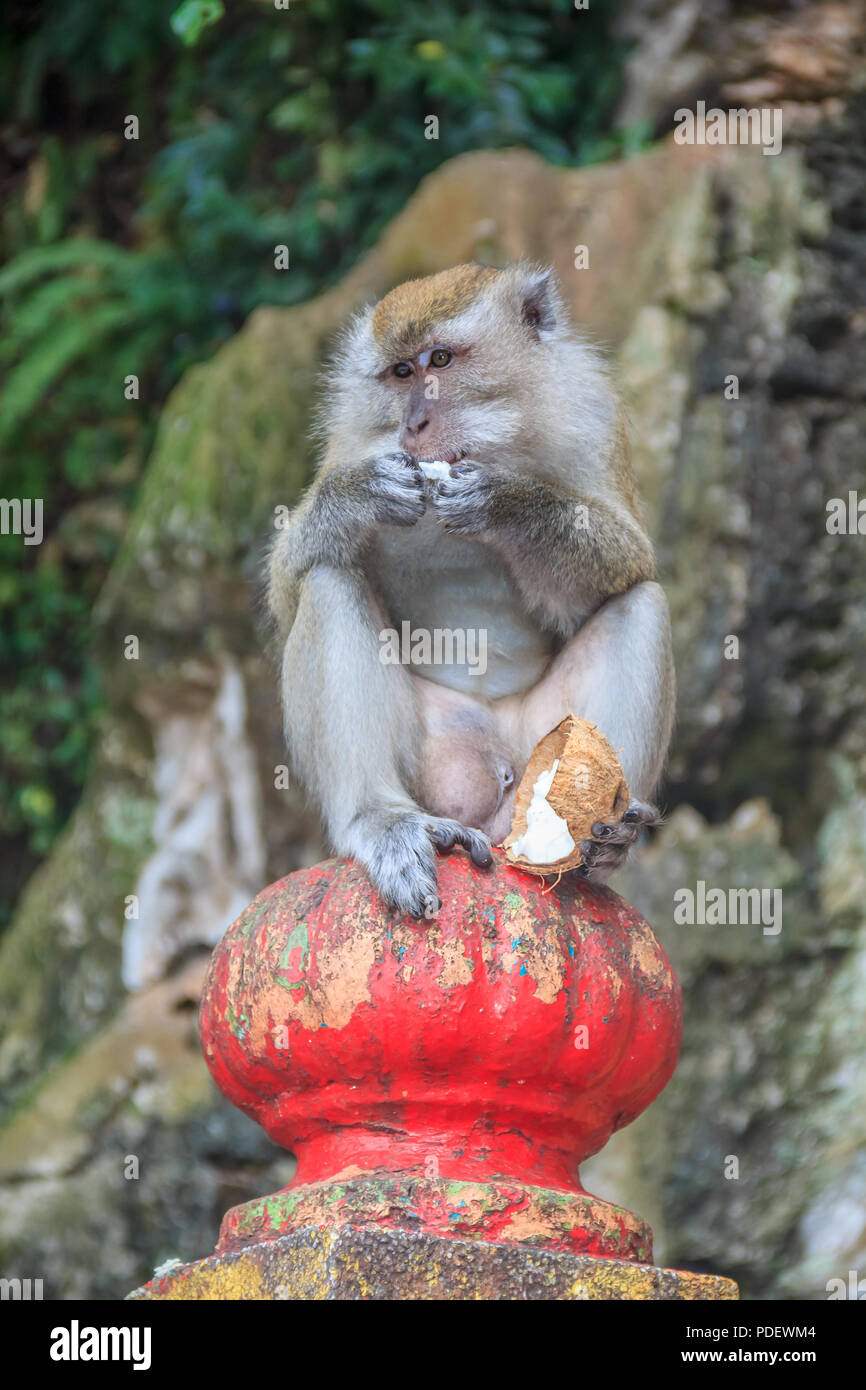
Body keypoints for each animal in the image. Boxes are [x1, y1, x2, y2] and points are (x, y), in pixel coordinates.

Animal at [268, 261, 675, 917]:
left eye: (441, 359)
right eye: (401, 372)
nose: (414, 423)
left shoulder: (592, 411)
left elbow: (631, 564)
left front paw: (503, 501)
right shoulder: (353, 437)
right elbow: (286, 585)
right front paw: (360, 495)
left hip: (538, 749)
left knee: (642, 605)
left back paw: (598, 849)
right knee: (329, 582)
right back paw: (381, 821)